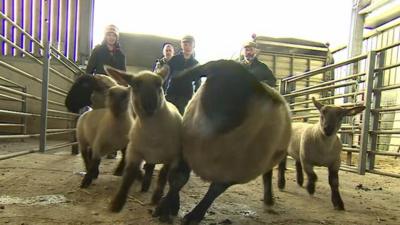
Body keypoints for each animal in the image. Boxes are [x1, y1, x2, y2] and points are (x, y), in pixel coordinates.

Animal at [105, 65, 182, 211]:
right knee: (149, 167)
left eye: (159, 85)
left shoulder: (171, 157)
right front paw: (117, 202)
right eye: (135, 86)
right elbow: (128, 176)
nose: (150, 107)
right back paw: (145, 184)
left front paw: (156, 197)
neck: (153, 134)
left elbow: (163, 176)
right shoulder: (134, 152)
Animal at [152, 59, 292, 223]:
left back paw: (270, 197)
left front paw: (194, 215)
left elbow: (213, 193)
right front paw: (167, 207)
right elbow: (178, 179)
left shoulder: (231, 176)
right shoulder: (185, 151)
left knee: (268, 174)